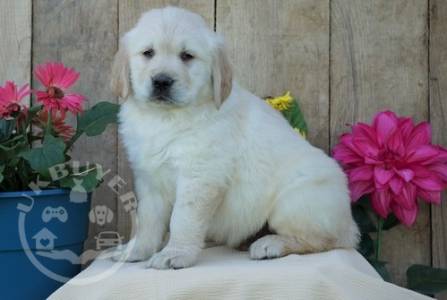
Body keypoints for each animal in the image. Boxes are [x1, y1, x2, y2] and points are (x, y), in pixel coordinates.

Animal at [112, 6, 360, 270]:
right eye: (148, 53)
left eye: (187, 56)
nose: (161, 81)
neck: (165, 118)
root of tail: (350, 224)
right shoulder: (149, 177)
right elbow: (147, 220)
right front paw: (135, 250)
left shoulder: (200, 176)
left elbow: (183, 218)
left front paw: (175, 253)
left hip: (297, 200)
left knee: (325, 240)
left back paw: (270, 244)